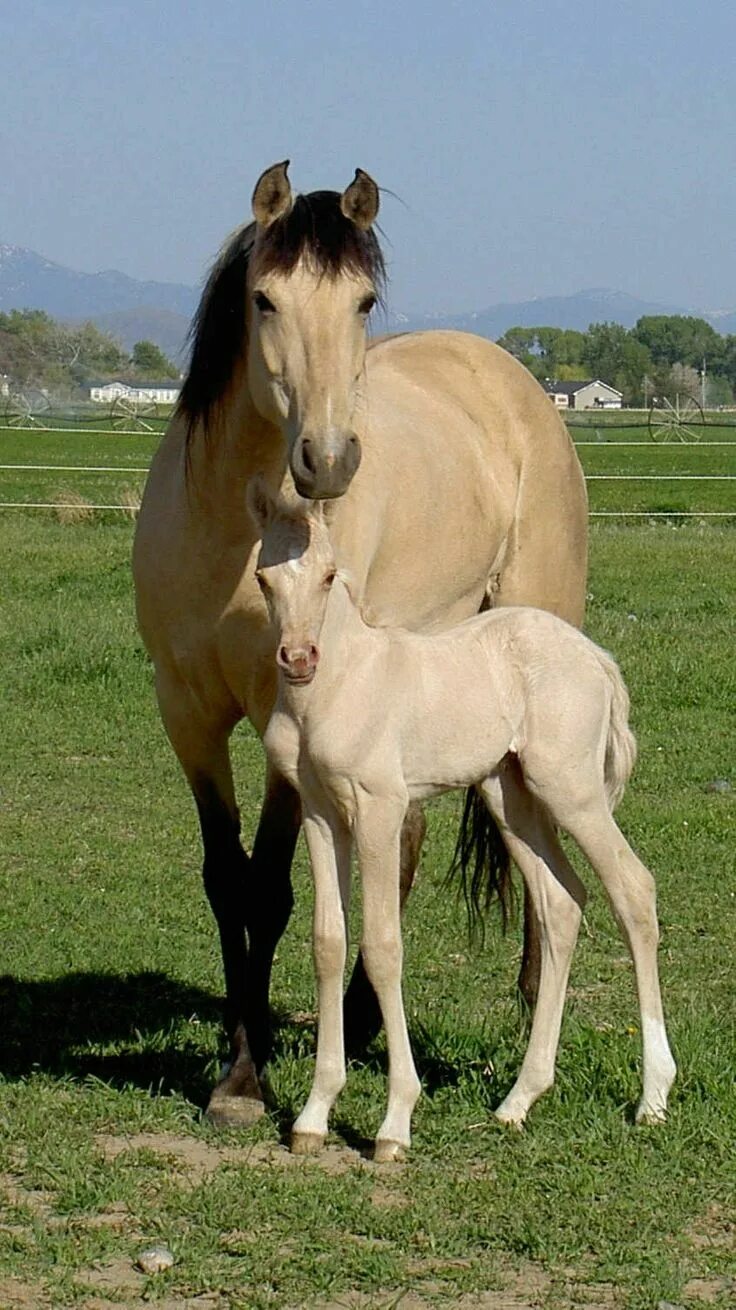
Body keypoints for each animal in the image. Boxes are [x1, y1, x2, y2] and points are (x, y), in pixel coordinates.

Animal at [248, 482, 675, 1158]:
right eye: (264, 578)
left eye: (329, 575)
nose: (297, 658)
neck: (341, 684)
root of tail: (594, 656)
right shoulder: (320, 813)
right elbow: (328, 943)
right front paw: (314, 1115)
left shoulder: (379, 809)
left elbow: (382, 947)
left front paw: (395, 1124)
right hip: (512, 796)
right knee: (562, 903)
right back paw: (518, 1101)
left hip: (571, 790)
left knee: (633, 889)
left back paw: (653, 1097)